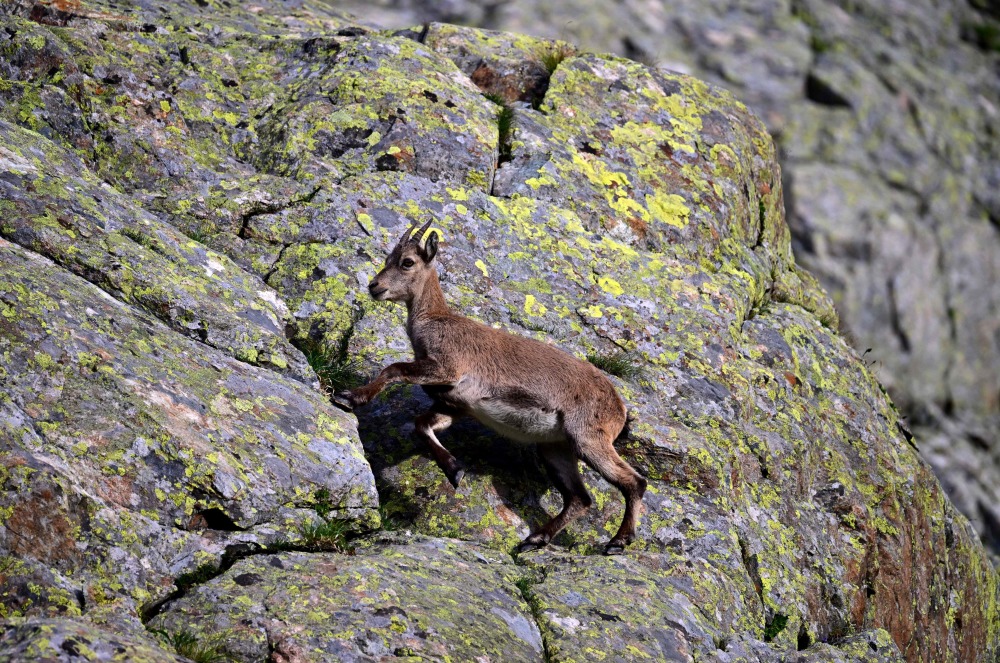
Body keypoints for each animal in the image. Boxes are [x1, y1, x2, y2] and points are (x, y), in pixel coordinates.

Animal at [336, 222, 648, 556]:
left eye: (407, 262)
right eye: (388, 258)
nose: (374, 286)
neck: (435, 321)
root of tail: (620, 408)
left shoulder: (447, 367)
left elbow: (393, 370)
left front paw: (350, 397)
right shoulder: (453, 404)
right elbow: (422, 425)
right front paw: (454, 470)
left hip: (589, 438)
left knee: (633, 482)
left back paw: (618, 541)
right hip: (556, 447)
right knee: (580, 498)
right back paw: (535, 539)